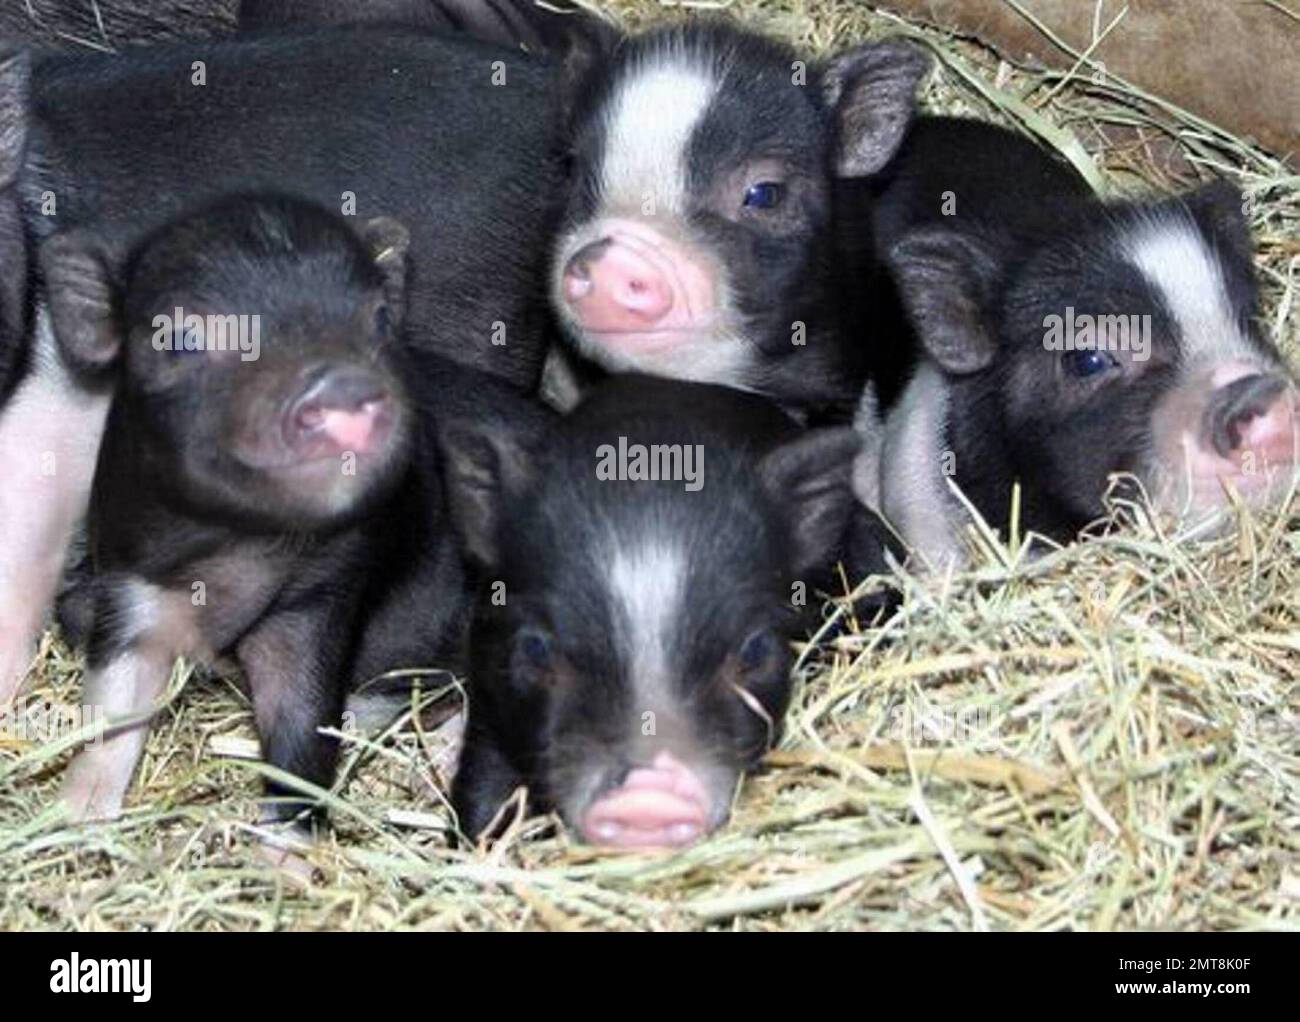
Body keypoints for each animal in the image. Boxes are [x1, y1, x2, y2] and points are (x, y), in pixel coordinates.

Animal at [38, 193, 532, 823]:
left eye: (379, 319)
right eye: (179, 337)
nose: (342, 387)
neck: (241, 540)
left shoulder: (322, 595)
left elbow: (302, 715)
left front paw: (285, 842)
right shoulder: (129, 571)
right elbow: (115, 701)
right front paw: (75, 816)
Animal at [440, 375, 861, 848]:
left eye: (754, 650)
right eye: (535, 648)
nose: (646, 797)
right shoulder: (488, 673)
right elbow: (484, 776)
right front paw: (477, 842)